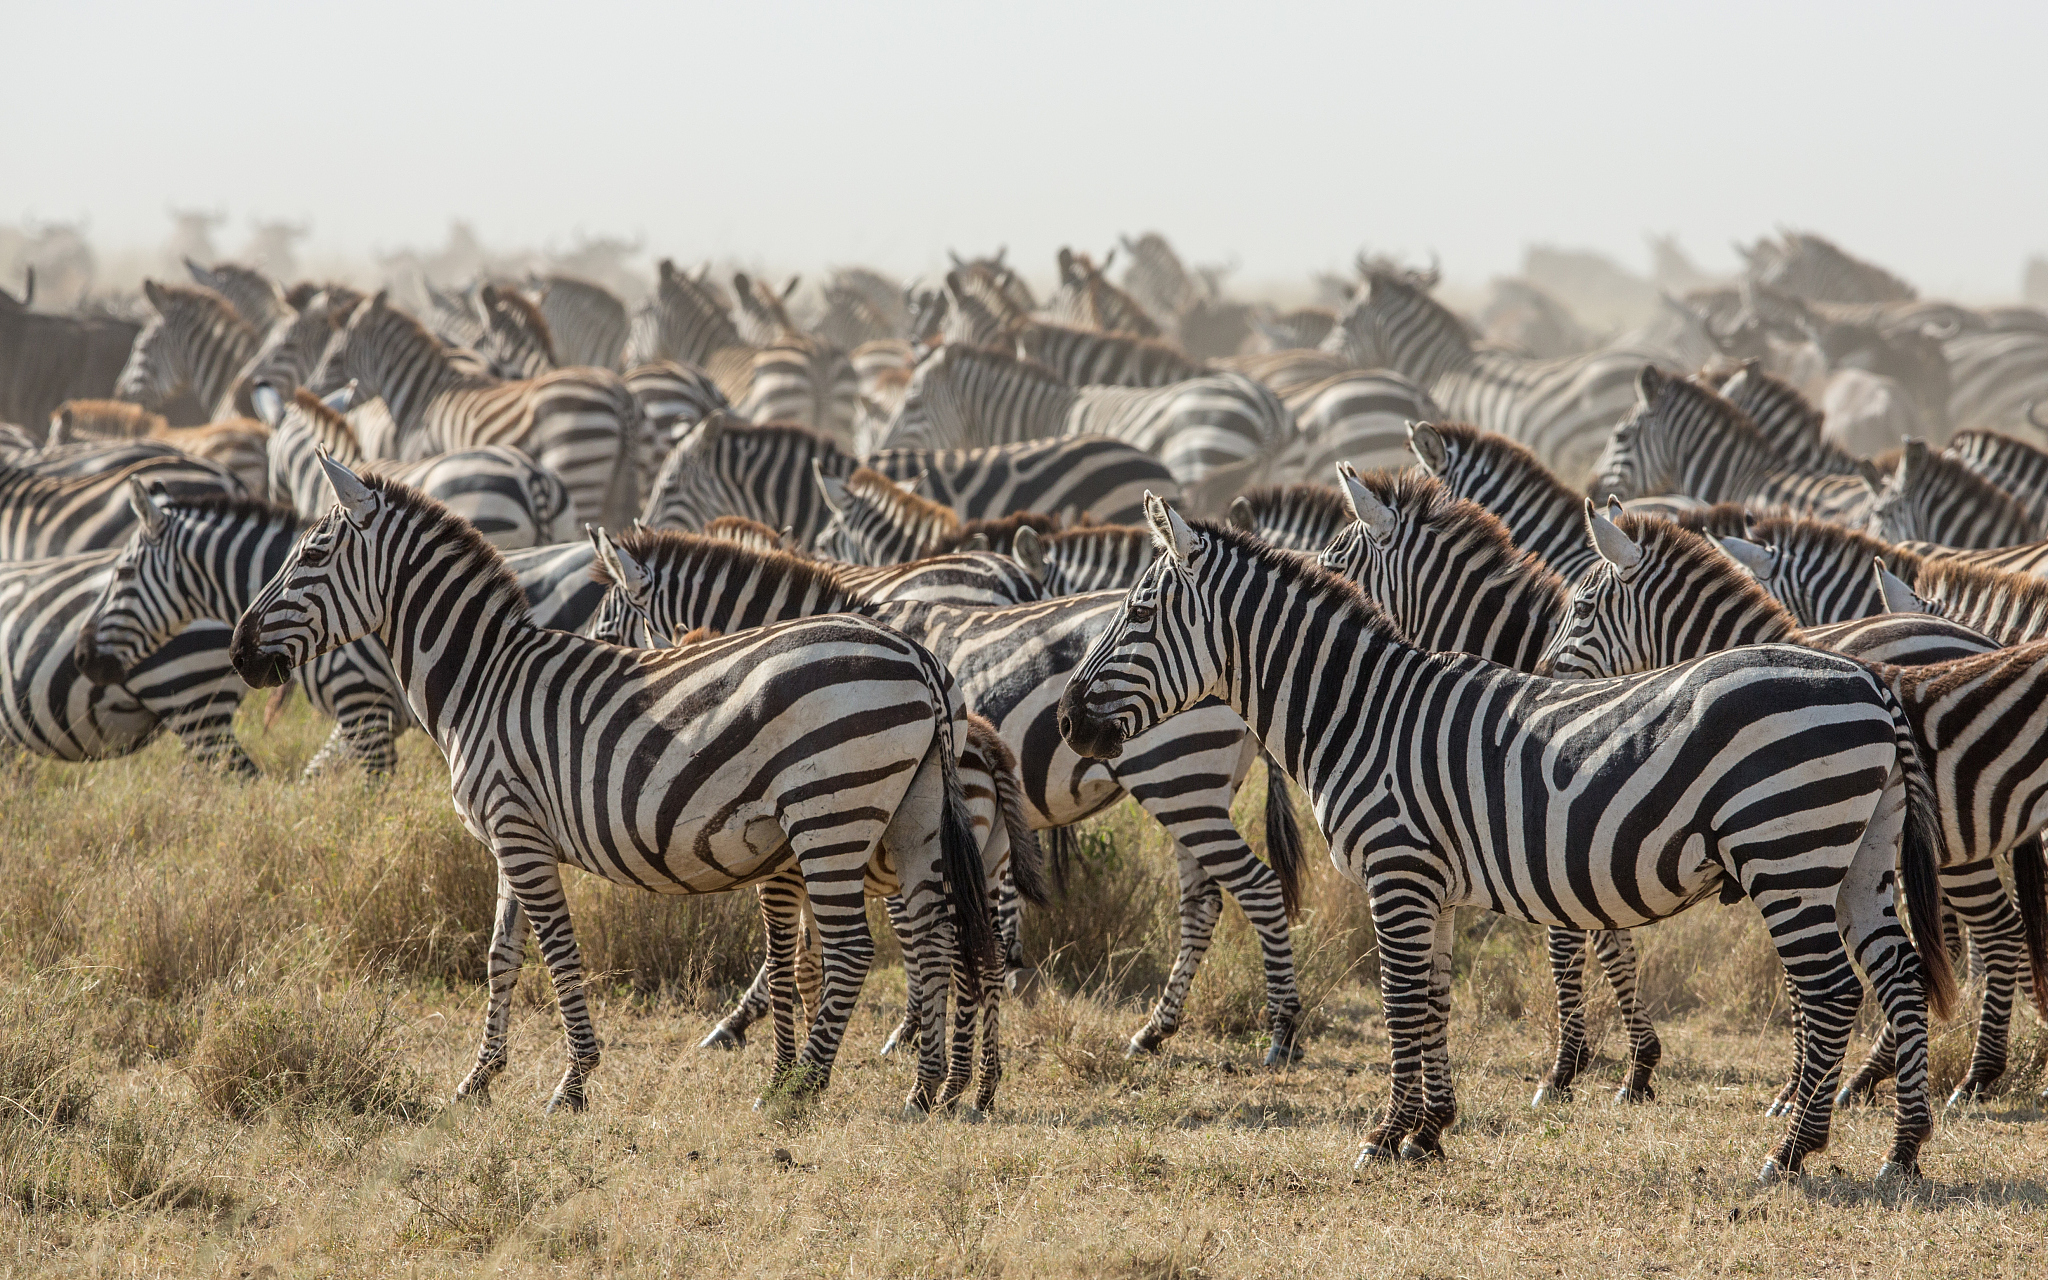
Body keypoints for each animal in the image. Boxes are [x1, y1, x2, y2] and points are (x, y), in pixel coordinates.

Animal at [227, 456, 1004, 1114]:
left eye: (311, 556)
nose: (238, 652)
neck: (481, 679)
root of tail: (918, 655)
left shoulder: (519, 830)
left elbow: (558, 950)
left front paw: (573, 1081)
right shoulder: (513, 835)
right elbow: (501, 957)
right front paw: (478, 1079)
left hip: (831, 816)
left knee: (852, 951)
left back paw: (799, 1092)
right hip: (912, 818)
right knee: (936, 939)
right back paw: (928, 1091)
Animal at [313, 290, 639, 528]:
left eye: (336, 356)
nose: (314, 391)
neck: (423, 396)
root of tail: (620, 393)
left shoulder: (419, 458)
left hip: (579, 471)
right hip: (621, 486)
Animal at [575, 525, 1311, 1064]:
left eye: (608, 636)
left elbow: (889, 924)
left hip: (1175, 775)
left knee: (1255, 887)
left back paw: (1281, 1033)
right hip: (1197, 787)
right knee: (1203, 902)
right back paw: (1156, 1029)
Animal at [1058, 495, 1953, 1180]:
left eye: (1137, 611)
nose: (1066, 721)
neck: (1358, 711)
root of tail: (1867, 680)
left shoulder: (1395, 867)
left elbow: (1400, 999)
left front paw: (1386, 1135)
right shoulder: (1432, 882)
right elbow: (1434, 998)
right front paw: (1430, 1130)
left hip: (1788, 850)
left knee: (1830, 992)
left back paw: (1792, 1151)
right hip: (1857, 860)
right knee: (1899, 975)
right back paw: (1904, 1150)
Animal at [1535, 504, 2048, 1108]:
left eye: (1581, 608)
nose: (1541, 681)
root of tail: (1983, 640)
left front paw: (1797, 1088)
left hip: (1960, 839)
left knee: (1995, 933)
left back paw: (1970, 1076)